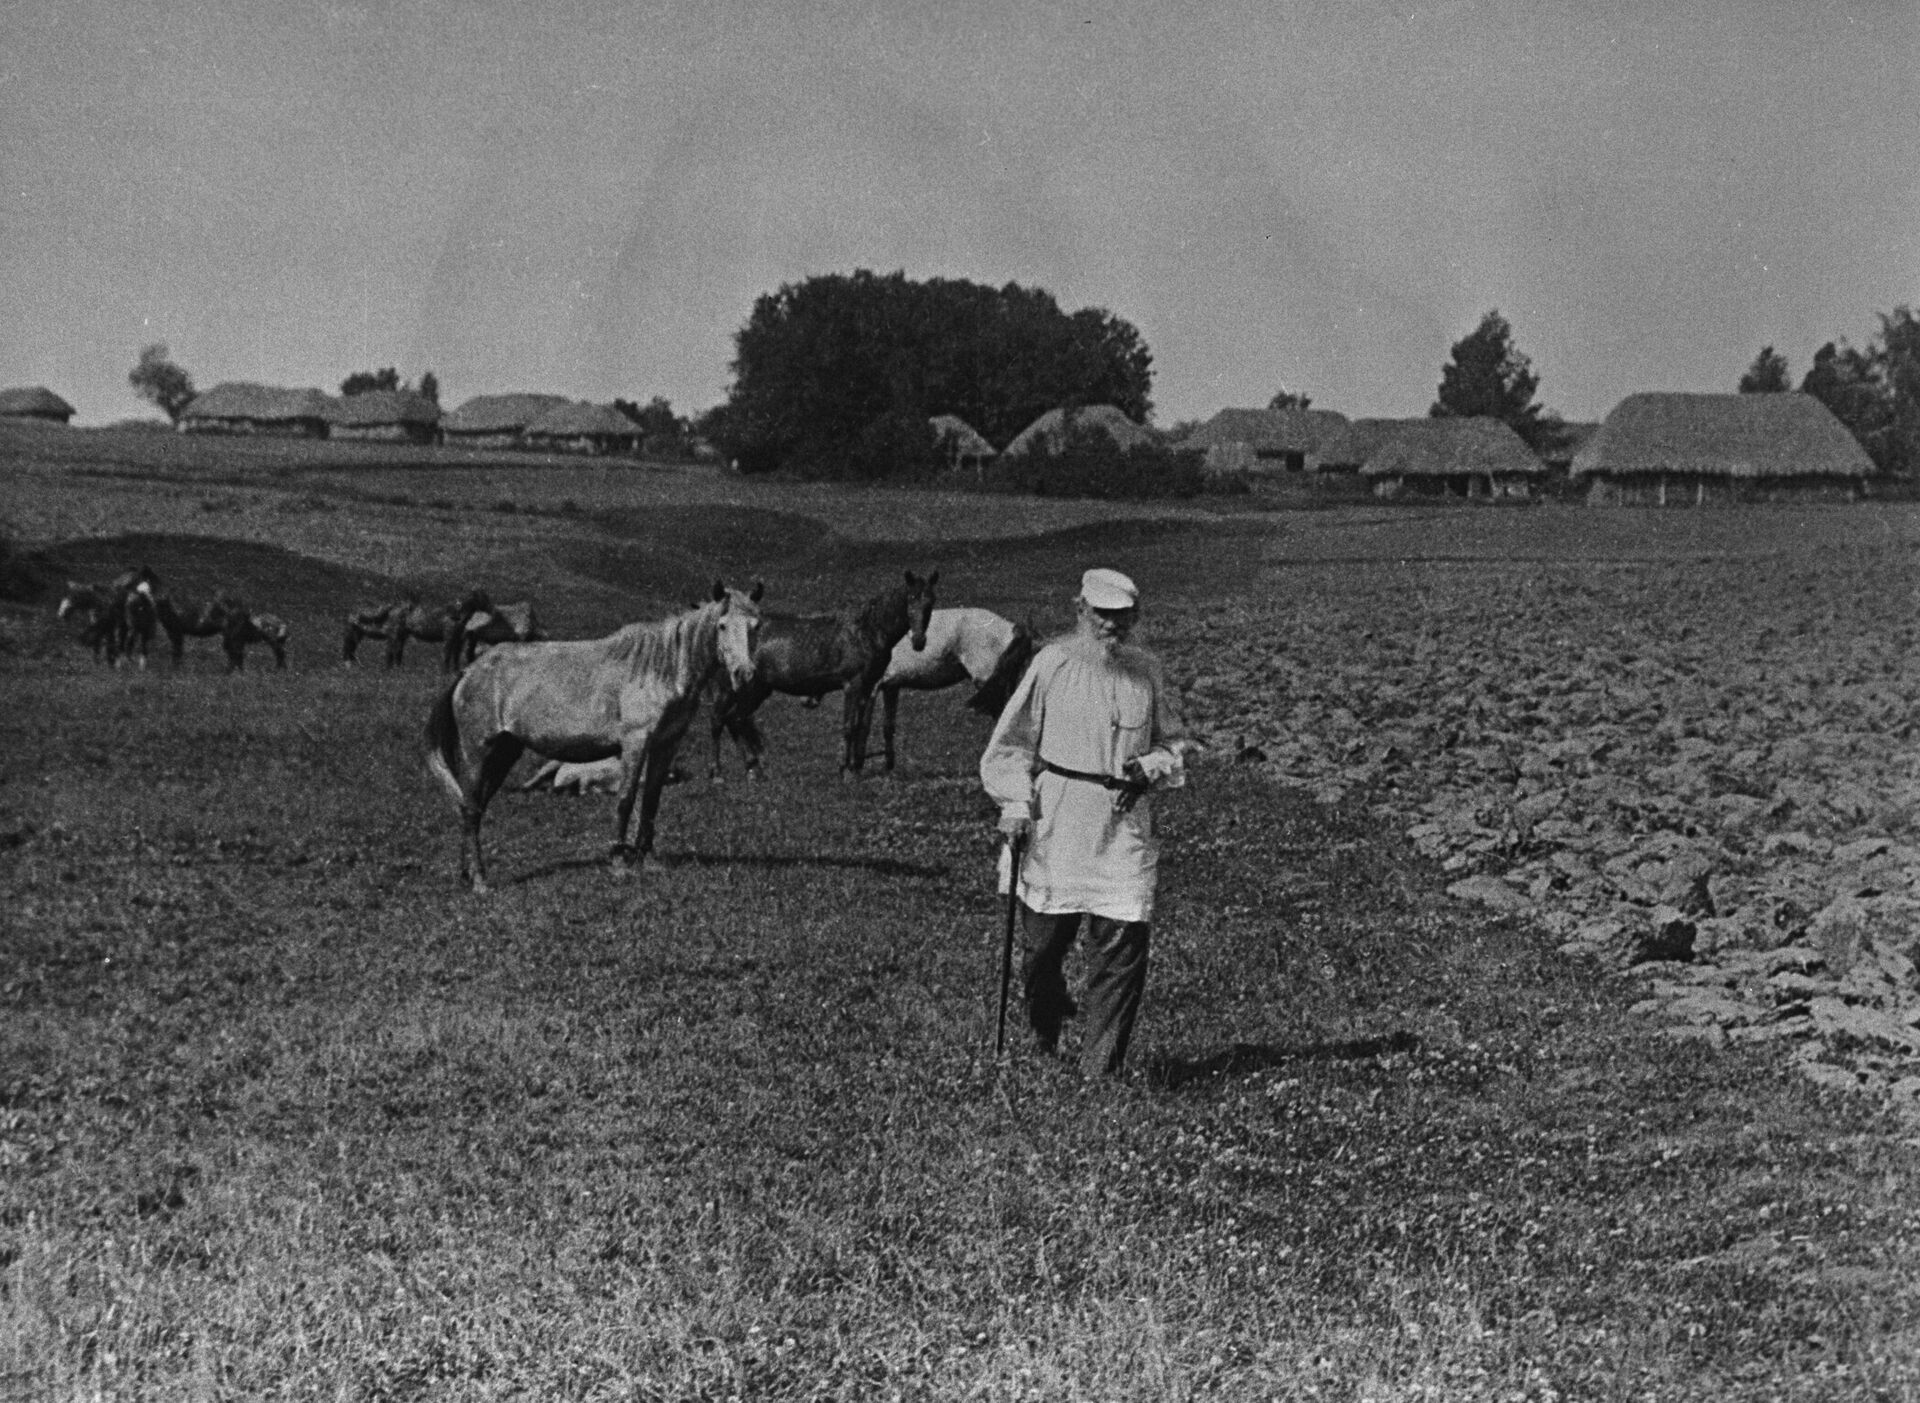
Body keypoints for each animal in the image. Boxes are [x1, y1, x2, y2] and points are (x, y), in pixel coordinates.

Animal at [345, 591, 495, 671]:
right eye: (484, 599)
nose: (492, 608)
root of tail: (394, 605)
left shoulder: (458, 638)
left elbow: (455, 656)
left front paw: (456, 670)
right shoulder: (449, 636)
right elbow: (447, 655)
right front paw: (445, 672)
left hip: (401, 635)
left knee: (397, 651)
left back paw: (398, 668)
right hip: (395, 633)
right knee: (390, 650)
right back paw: (389, 669)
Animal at [428, 583, 764, 894]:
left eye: (756, 625)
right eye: (722, 626)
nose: (745, 674)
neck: (661, 667)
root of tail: (467, 672)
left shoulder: (666, 744)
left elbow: (651, 801)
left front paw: (647, 859)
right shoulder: (635, 744)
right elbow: (626, 800)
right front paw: (618, 861)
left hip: (504, 753)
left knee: (472, 807)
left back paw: (467, 874)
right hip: (478, 753)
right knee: (470, 808)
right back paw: (480, 880)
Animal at [710, 575, 940, 783]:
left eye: (931, 602)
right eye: (910, 599)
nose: (919, 641)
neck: (867, 630)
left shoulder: (867, 687)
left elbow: (859, 727)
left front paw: (854, 769)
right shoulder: (853, 685)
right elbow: (849, 727)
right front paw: (846, 771)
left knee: (728, 720)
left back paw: (751, 770)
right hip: (748, 690)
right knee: (731, 719)